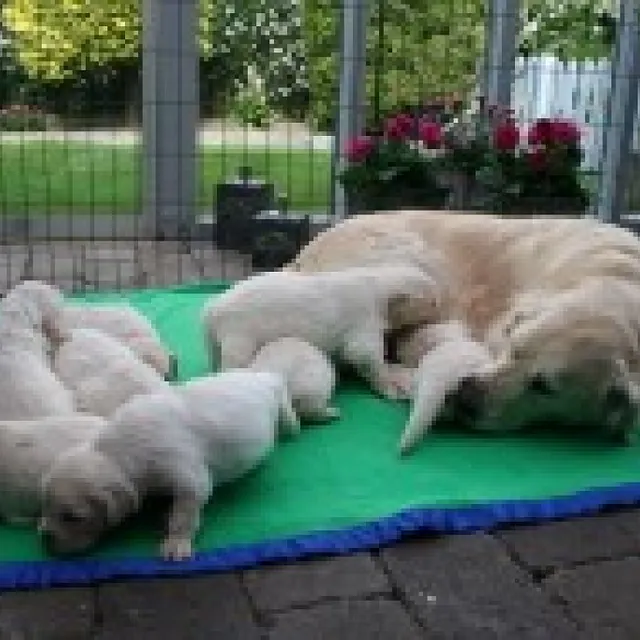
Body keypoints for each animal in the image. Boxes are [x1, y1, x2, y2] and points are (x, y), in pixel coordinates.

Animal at [38, 370, 300, 559]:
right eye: (45, 505)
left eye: (73, 517)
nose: (44, 539)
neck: (120, 450)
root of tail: (261, 374)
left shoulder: (189, 479)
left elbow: (183, 514)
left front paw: (176, 542)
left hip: (278, 398)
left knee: (285, 410)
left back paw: (292, 427)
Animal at [202, 265, 440, 399]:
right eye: (433, 301)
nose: (441, 308)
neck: (375, 282)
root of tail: (214, 308)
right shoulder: (363, 314)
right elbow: (362, 353)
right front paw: (390, 385)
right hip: (241, 328)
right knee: (236, 358)